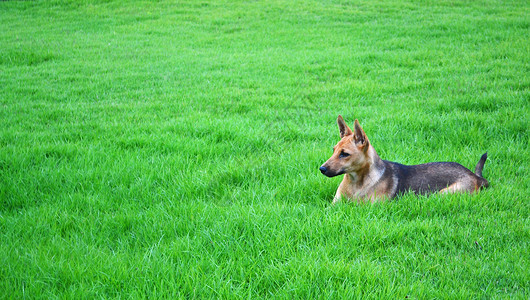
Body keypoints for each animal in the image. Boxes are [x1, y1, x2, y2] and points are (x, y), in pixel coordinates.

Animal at [318, 115, 486, 204]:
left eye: (344, 154)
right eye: (334, 150)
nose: (322, 169)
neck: (356, 182)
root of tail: (476, 176)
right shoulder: (334, 206)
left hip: (444, 193)